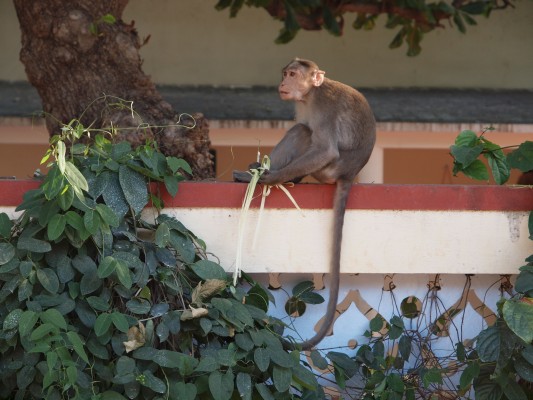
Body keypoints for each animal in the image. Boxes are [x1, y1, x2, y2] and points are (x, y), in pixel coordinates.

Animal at [232, 57, 374, 348]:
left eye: (293, 75)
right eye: (286, 74)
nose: (283, 83)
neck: (310, 94)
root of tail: (350, 173)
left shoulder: (325, 108)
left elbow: (325, 149)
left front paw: (269, 178)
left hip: (330, 171)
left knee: (306, 133)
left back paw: (264, 177)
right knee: (302, 129)